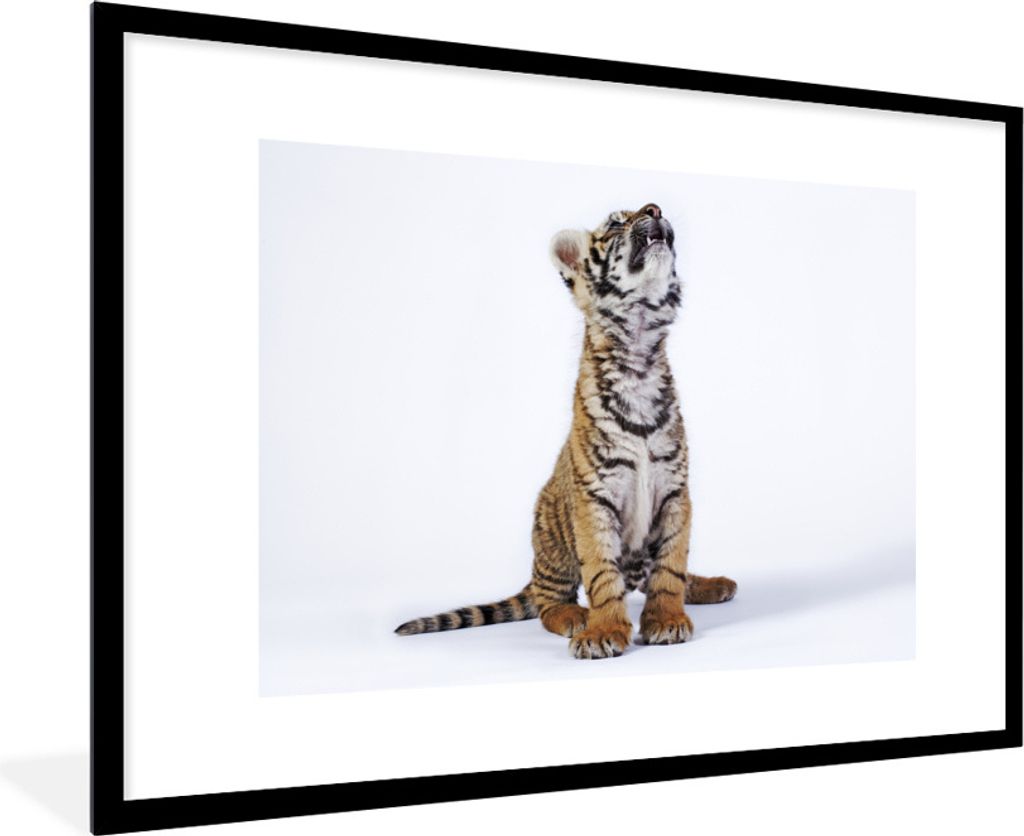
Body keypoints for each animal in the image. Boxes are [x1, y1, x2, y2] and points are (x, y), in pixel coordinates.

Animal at [395, 203, 736, 659]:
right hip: (551, 533)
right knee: (547, 601)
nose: (655, 208)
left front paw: (667, 620)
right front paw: (603, 631)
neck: (639, 350)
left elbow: (670, 567)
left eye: (647, 210)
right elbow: (602, 575)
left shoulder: (674, 491)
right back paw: (574, 616)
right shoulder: (595, 496)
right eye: (615, 223)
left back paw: (711, 585)